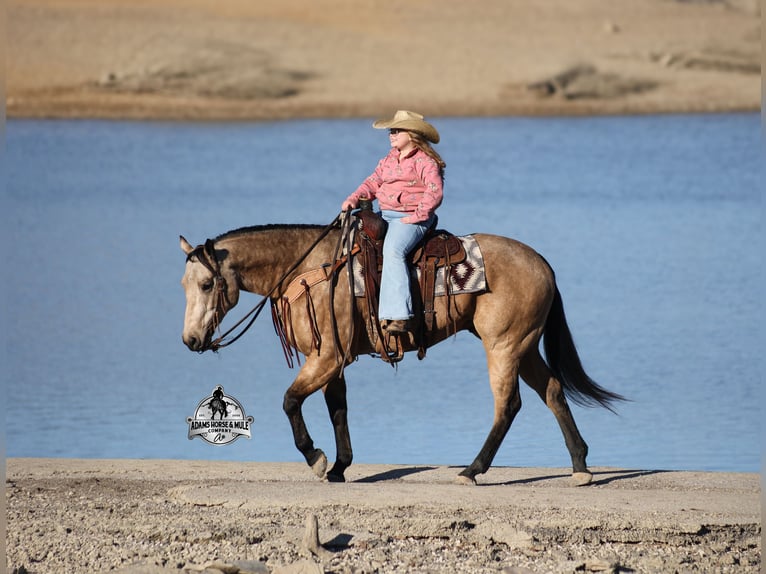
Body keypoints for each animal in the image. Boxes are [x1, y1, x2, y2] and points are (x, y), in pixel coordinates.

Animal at [180, 221, 624, 485]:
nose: (190, 340)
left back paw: (472, 470)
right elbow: (338, 410)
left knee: (508, 405)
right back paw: (580, 467)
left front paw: (317, 459)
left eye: (206, 284)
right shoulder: (333, 362)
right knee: (552, 391)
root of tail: (544, 264)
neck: (311, 269)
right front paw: (340, 466)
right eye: (185, 284)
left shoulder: (325, 359)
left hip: (504, 346)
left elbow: (290, 402)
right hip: (525, 346)